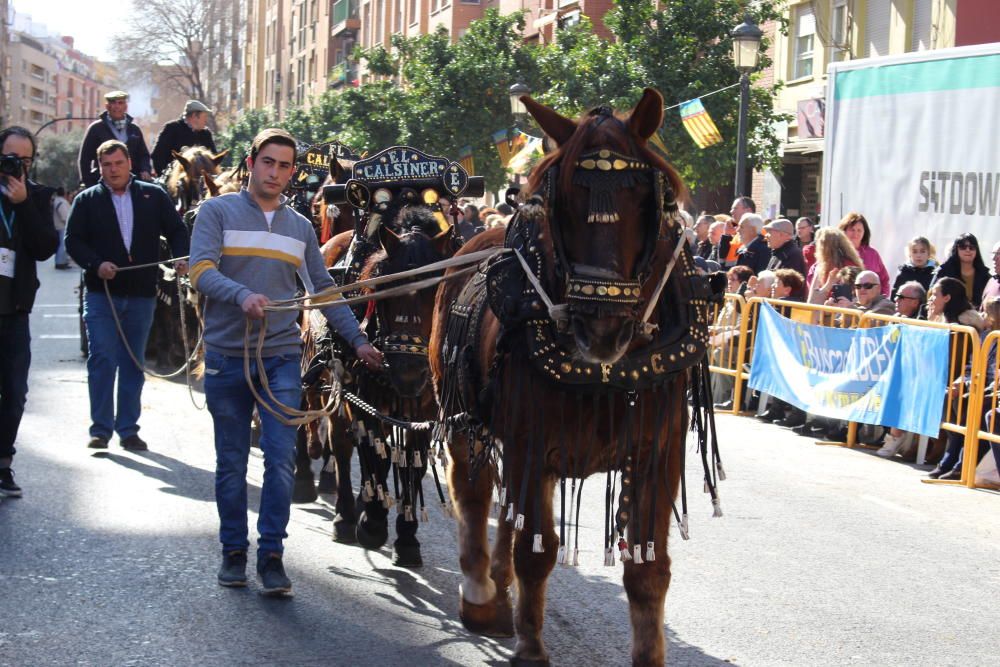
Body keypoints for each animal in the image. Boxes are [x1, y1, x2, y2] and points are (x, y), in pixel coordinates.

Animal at [430, 90, 720, 667]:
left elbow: (647, 568)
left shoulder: (656, 452)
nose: (600, 324)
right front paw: (530, 645)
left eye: (645, 200)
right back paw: (481, 592)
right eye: (560, 200)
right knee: (474, 492)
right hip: (464, 415)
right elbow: (536, 550)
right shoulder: (530, 440)